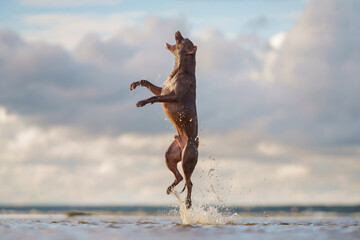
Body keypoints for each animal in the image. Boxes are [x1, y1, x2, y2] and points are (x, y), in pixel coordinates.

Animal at [129, 31, 198, 208]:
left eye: (184, 40)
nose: (178, 31)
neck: (179, 70)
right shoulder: (163, 89)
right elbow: (150, 86)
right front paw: (136, 83)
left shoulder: (174, 96)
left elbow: (155, 97)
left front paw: (143, 102)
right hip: (170, 155)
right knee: (179, 177)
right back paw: (170, 188)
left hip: (187, 158)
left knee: (189, 182)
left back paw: (188, 202)